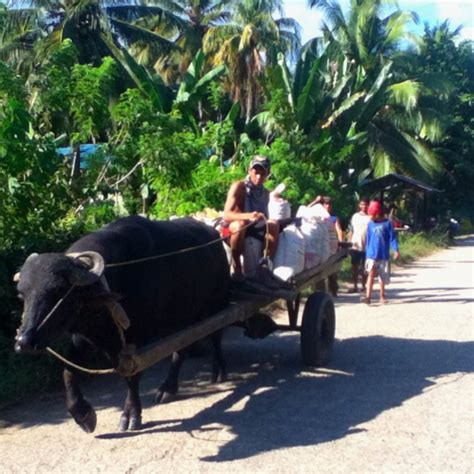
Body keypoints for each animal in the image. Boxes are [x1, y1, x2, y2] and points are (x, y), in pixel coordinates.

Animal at [14, 217, 230, 432]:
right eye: (22, 294)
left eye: (59, 292)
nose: (24, 341)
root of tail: (214, 235)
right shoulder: (83, 338)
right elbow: (68, 371)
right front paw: (83, 415)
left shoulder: (139, 339)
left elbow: (132, 377)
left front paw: (131, 414)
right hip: (181, 317)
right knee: (181, 349)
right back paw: (168, 388)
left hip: (217, 303)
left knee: (216, 335)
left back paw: (219, 371)